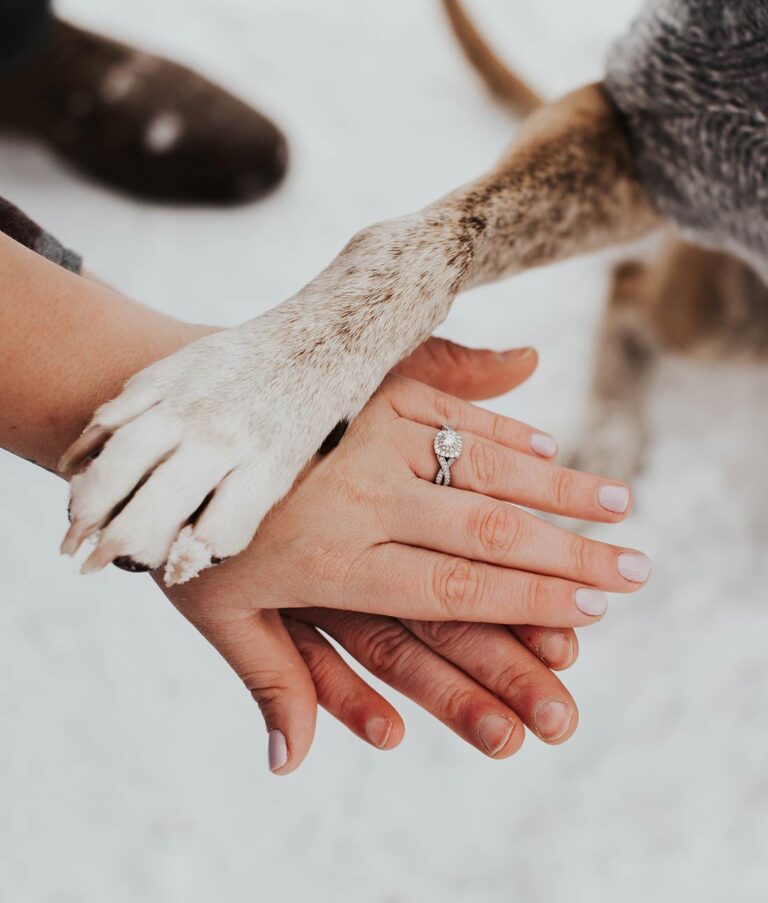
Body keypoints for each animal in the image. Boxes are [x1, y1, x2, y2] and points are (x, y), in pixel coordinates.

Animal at [60, 0, 764, 584]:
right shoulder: (655, 130)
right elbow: (431, 238)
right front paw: (238, 411)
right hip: (720, 313)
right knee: (629, 289)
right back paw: (609, 448)